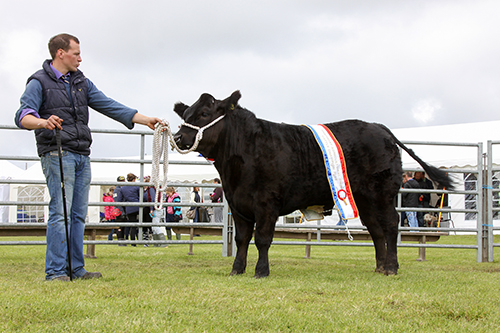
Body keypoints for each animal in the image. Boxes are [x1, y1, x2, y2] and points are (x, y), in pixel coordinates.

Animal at [174, 91, 456, 278]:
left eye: (204, 113)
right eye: (185, 115)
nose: (178, 136)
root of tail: (379, 128)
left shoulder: (267, 203)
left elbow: (262, 239)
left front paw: (261, 271)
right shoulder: (238, 204)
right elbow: (242, 239)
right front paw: (237, 270)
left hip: (383, 194)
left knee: (390, 225)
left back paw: (392, 268)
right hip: (364, 199)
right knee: (375, 230)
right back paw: (379, 266)